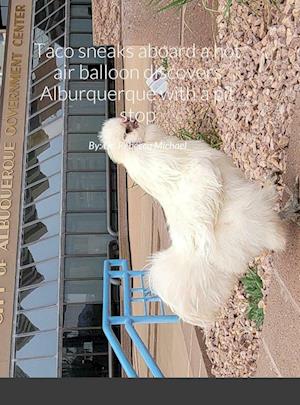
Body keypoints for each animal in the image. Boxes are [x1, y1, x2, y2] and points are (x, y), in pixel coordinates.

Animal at [101, 115, 286, 326]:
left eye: (125, 124)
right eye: (126, 131)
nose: (131, 119)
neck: (138, 147)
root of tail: (191, 254)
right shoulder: (197, 168)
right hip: (248, 215)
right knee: (271, 232)